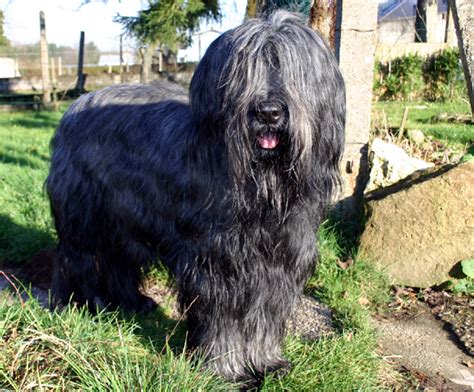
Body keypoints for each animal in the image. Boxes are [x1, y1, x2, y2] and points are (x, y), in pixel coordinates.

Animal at [47, 10, 344, 384]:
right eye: (244, 73)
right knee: (79, 258)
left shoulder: (280, 263)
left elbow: (265, 315)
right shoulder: (216, 262)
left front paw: (267, 362)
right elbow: (221, 320)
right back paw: (78, 305)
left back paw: (132, 302)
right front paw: (228, 371)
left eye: (293, 70)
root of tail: (74, 106)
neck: (262, 189)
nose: (268, 112)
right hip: (86, 213)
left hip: (124, 218)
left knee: (118, 261)